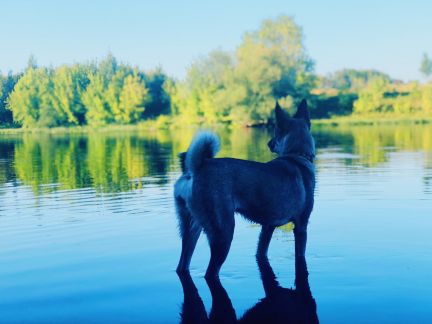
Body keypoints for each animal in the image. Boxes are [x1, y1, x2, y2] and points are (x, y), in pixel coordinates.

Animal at [174, 99, 316, 278]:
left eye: (275, 132)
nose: (269, 143)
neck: (296, 155)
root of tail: (196, 169)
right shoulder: (301, 226)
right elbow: (300, 254)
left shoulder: (267, 227)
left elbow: (261, 252)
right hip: (223, 233)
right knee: (210, 272)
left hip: (191, 230)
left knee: (182, 265)